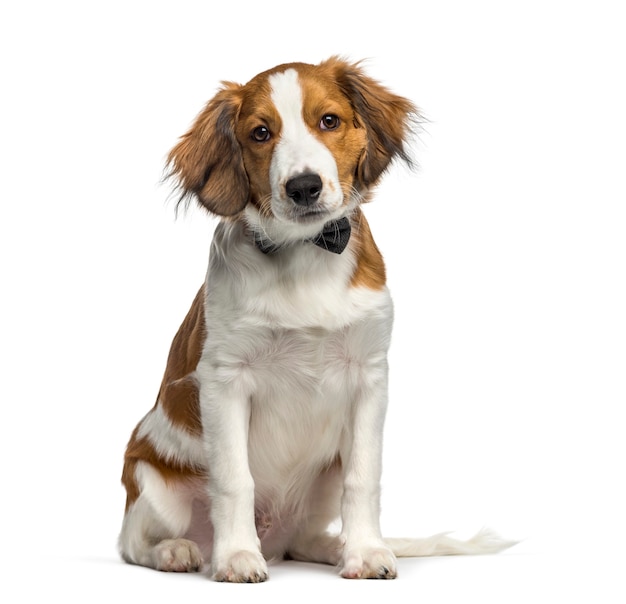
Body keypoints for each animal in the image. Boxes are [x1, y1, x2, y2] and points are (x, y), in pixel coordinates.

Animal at [118, 55, 512, 580]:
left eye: (329, 121)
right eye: (261, 133)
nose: (303, 187)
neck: (304, 253)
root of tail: (275, 537)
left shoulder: (369, 376)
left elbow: (364, 478)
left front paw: (366, 552)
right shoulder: (224, 380)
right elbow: (234, 480)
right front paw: (236, 556)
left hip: (322, 480)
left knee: (305, 539)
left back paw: (335, 547)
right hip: (153, 481)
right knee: (133, 541)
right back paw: (179, 551)